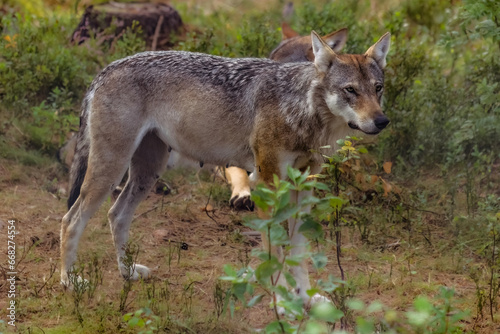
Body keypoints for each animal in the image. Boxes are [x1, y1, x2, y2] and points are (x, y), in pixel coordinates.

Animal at [61, 31, 390, 310]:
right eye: (350, 90)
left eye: (378, 89)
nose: (382, 121)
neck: (300, 109)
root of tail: (107, 68)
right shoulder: (265, 183)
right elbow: (274, 252)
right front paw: (282, 302)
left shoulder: (303, 189)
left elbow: (298, 252)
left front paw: (305, 299)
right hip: (111, 170)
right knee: (70, 220)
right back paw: (70, 281)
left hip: (147, 173)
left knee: (116, 215)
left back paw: (127, 272)